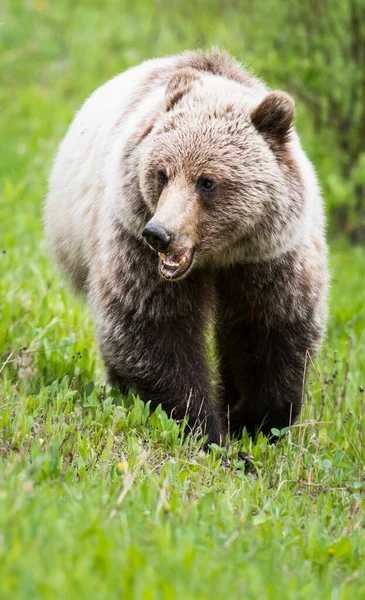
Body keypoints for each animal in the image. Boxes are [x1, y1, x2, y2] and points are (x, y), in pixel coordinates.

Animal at [44, 50, 328, 446]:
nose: (159, 233)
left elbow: (270, 329)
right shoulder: (133, 246)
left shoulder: (270, 257)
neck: (219, 257)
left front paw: (253, 421)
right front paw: (204, 426)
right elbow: (156, 330)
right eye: (161, 174)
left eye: (206, 182)